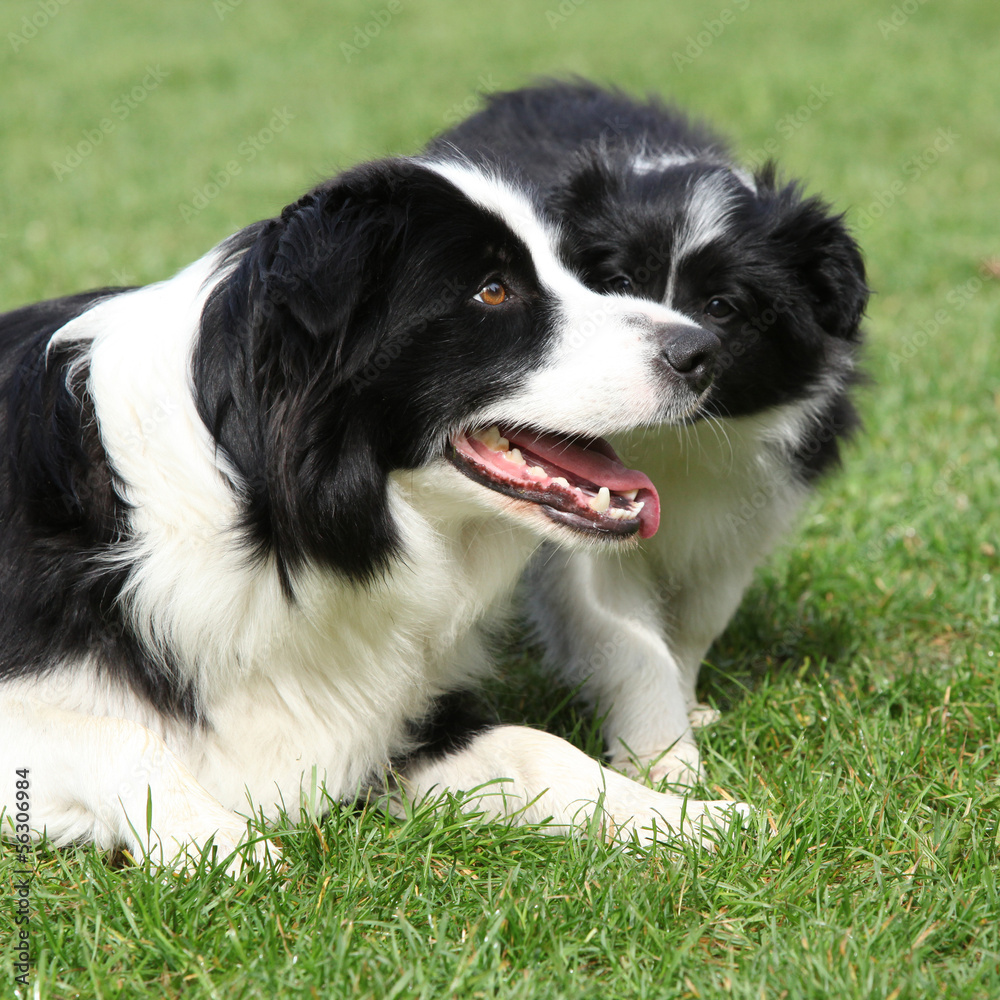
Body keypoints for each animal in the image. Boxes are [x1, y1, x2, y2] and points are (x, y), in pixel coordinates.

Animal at [0, 156, 748, 868]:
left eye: (577, 272)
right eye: (493, 290)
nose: (704, 352)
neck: (273, 523)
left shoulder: (396, 716)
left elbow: (538, 746)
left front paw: (685, 818)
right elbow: (117, 734)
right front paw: (223, 843)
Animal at [430, 82, 868, 784]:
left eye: (722, 307)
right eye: (617, 283)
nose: (682, 355)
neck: (671, 438)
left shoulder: (746, 510)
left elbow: (697, 619)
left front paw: (685, 714)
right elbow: (624, 631)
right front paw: (665, 764)